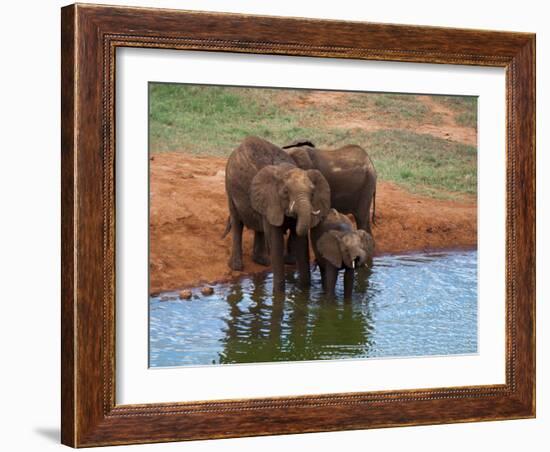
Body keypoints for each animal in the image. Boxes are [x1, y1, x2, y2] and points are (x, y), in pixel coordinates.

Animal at [225, 136, 332, 292]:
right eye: (286, 192)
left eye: (312, 193)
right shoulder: (272, 199)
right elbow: (275, 240)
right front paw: (279, 293)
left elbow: (301, 241)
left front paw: (303, 290)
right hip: (230, 187)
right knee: (237, 222)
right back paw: (237, 267)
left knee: (259, 226)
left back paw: (262, 261)